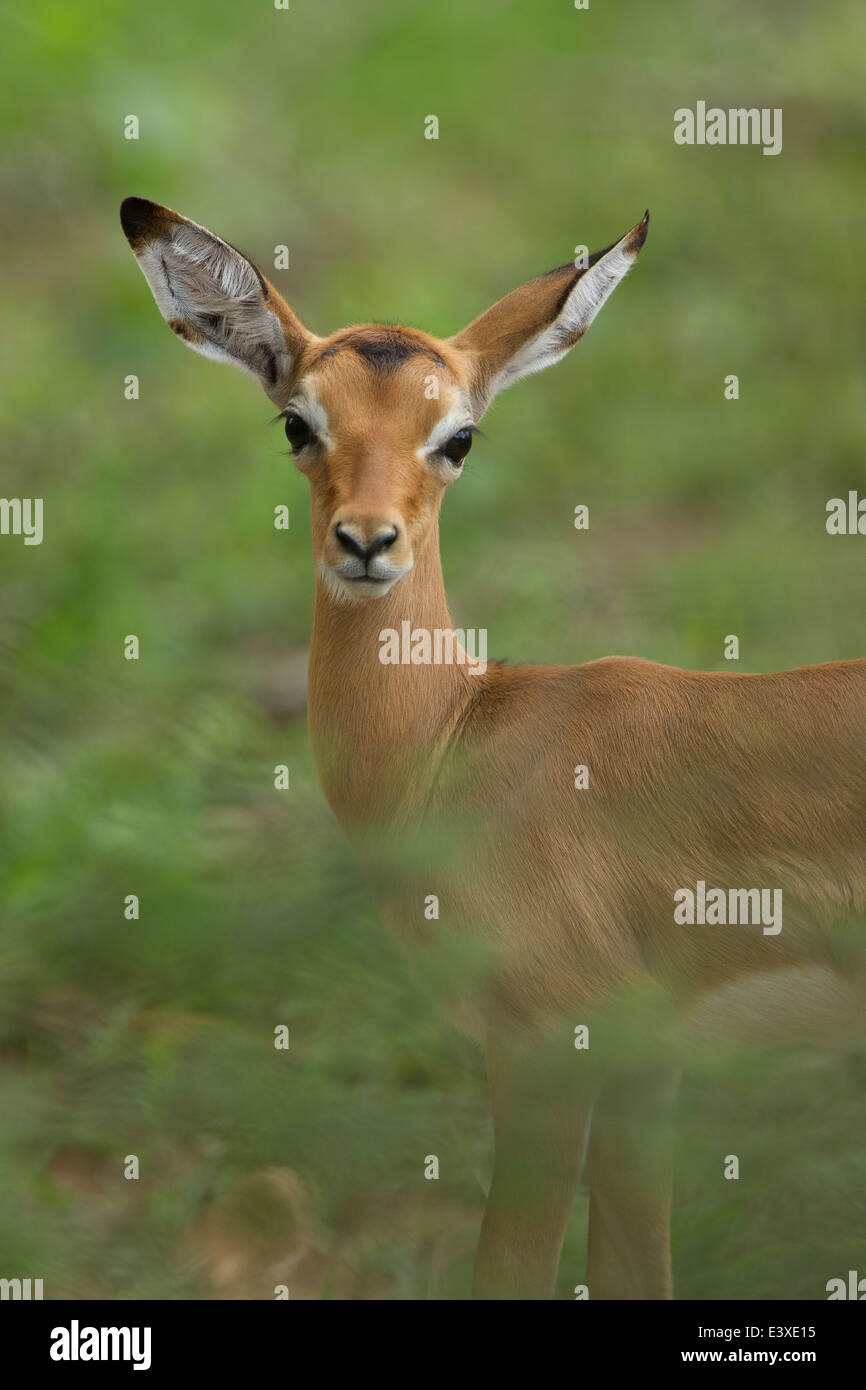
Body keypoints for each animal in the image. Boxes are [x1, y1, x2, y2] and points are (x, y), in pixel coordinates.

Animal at [121, 197, 866, 1300]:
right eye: (299, 421)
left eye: (457, 436)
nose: (367, 541)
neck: (458, 736)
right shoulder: (646, 1062)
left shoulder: (547, 1049)